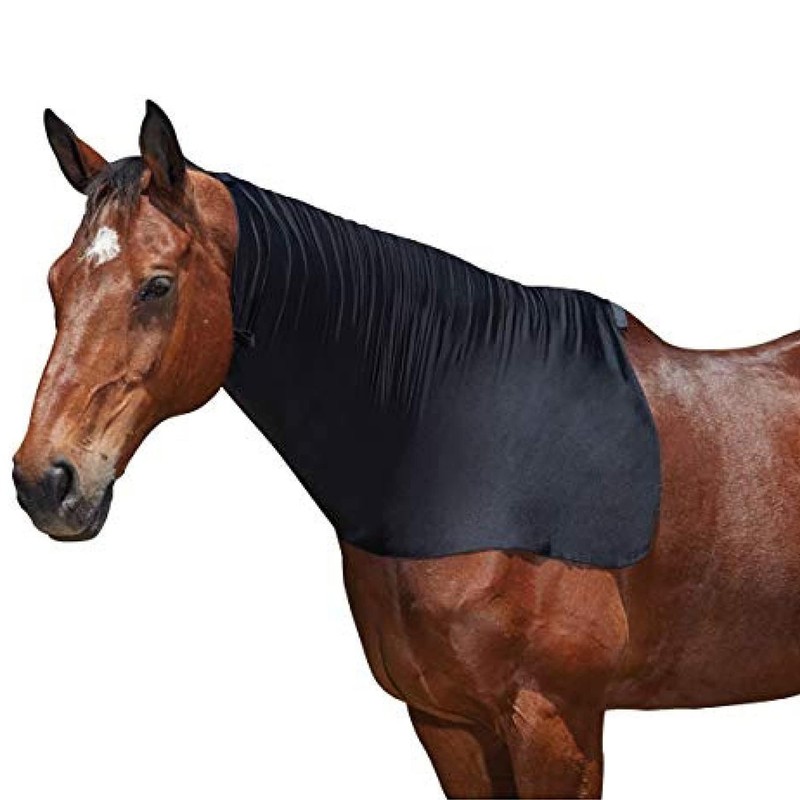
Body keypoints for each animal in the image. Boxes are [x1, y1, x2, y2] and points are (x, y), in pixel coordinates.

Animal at [13, 101, 800, 799]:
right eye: (55, 281)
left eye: (157, 286)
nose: (45, 482)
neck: (471, 458)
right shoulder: (449, 723)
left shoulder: (556, 724)